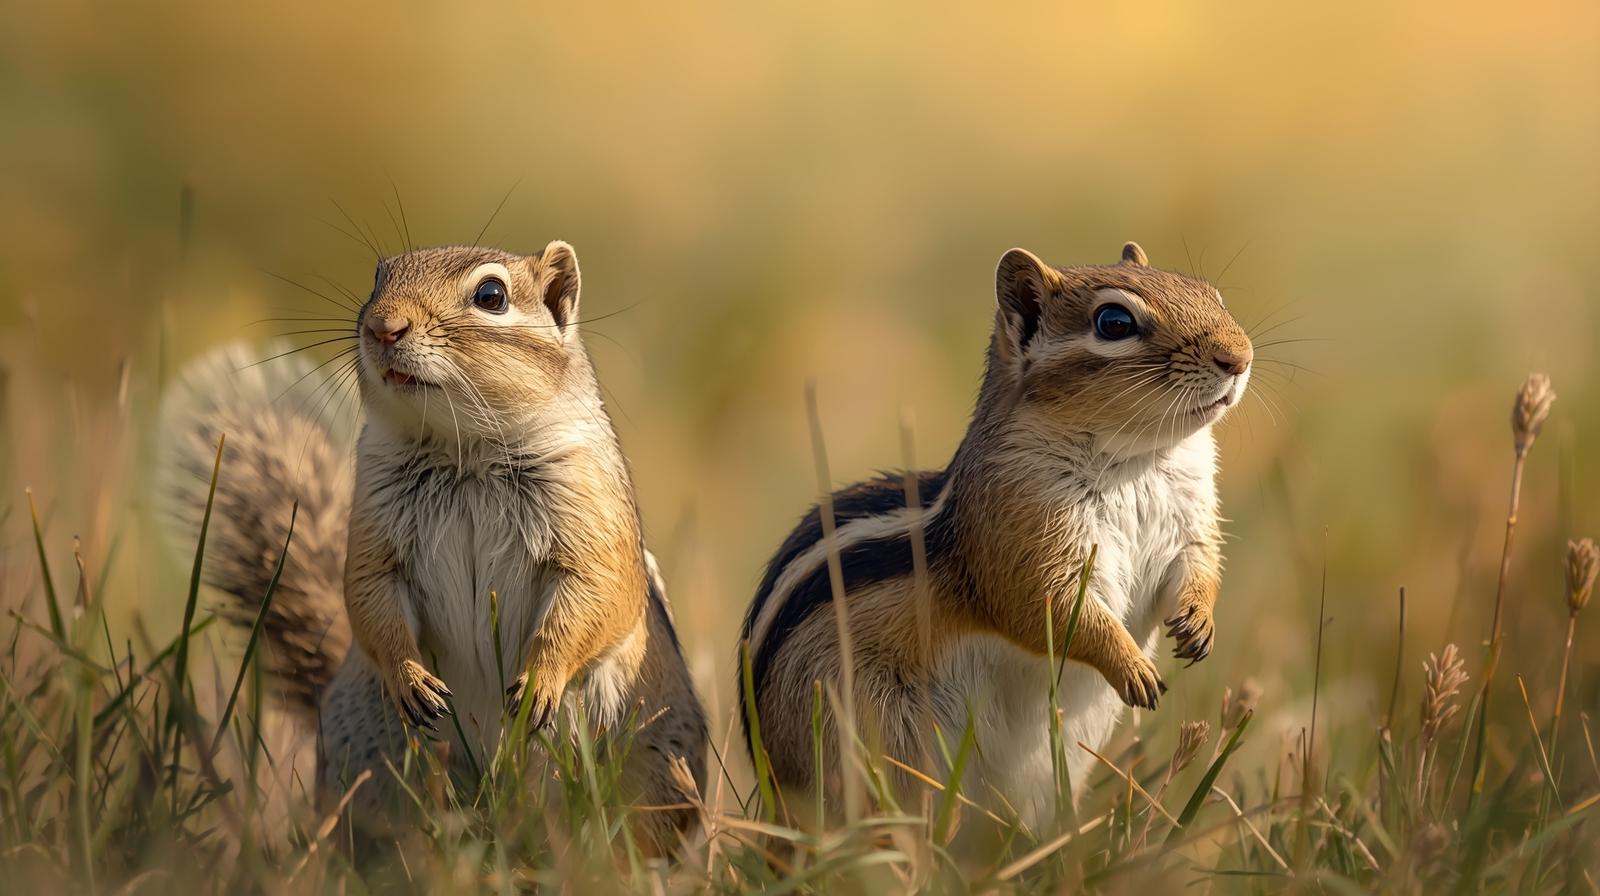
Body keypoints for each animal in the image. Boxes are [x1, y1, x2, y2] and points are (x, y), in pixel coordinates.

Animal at [160, 241, 707, 856]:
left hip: (653, 768)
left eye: (491, 295)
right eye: (377, 278)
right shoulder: (374, 531)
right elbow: (369, 600)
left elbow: (596, 597)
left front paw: (541, 682)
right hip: (369, 767)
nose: (382, 326)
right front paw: (410, 678)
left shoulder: (590, 520)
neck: (463, 451)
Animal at [738, 242, 1252, 834]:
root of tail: (776, 798)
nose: (1238, 358)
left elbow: (1198, 567)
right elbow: (1048, 609)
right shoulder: (1021, 535)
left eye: (1213, 294)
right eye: (1114, 322)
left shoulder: (1190, 522)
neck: (1137, 459)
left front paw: (1198, 623)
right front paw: (1132, 667)